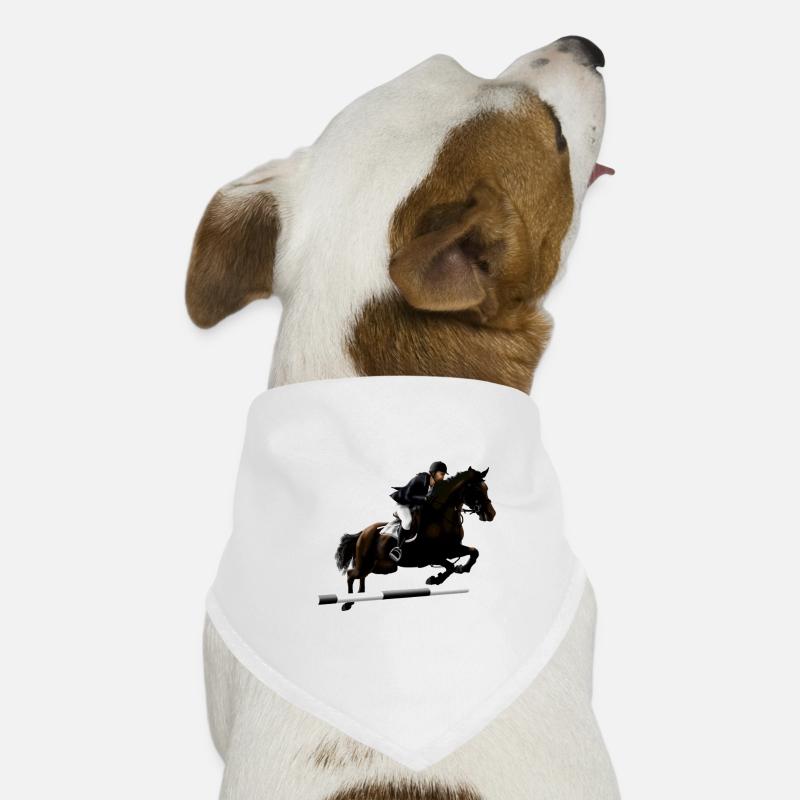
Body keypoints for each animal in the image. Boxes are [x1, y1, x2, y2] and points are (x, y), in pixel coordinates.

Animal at [333, 467, 496, 610]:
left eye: (486, 488)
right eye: (476, 490)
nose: (491, 514)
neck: (442, 518)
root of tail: (363, 532)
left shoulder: (452, 549)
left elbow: (473, 552)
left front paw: (458, 570)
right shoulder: (432, 556)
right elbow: (451, 566)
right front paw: (437, 578)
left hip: (382, 566)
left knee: (361, 576)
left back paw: (360, 596)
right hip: (368, 563)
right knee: (351, 574)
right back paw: (348, 603)